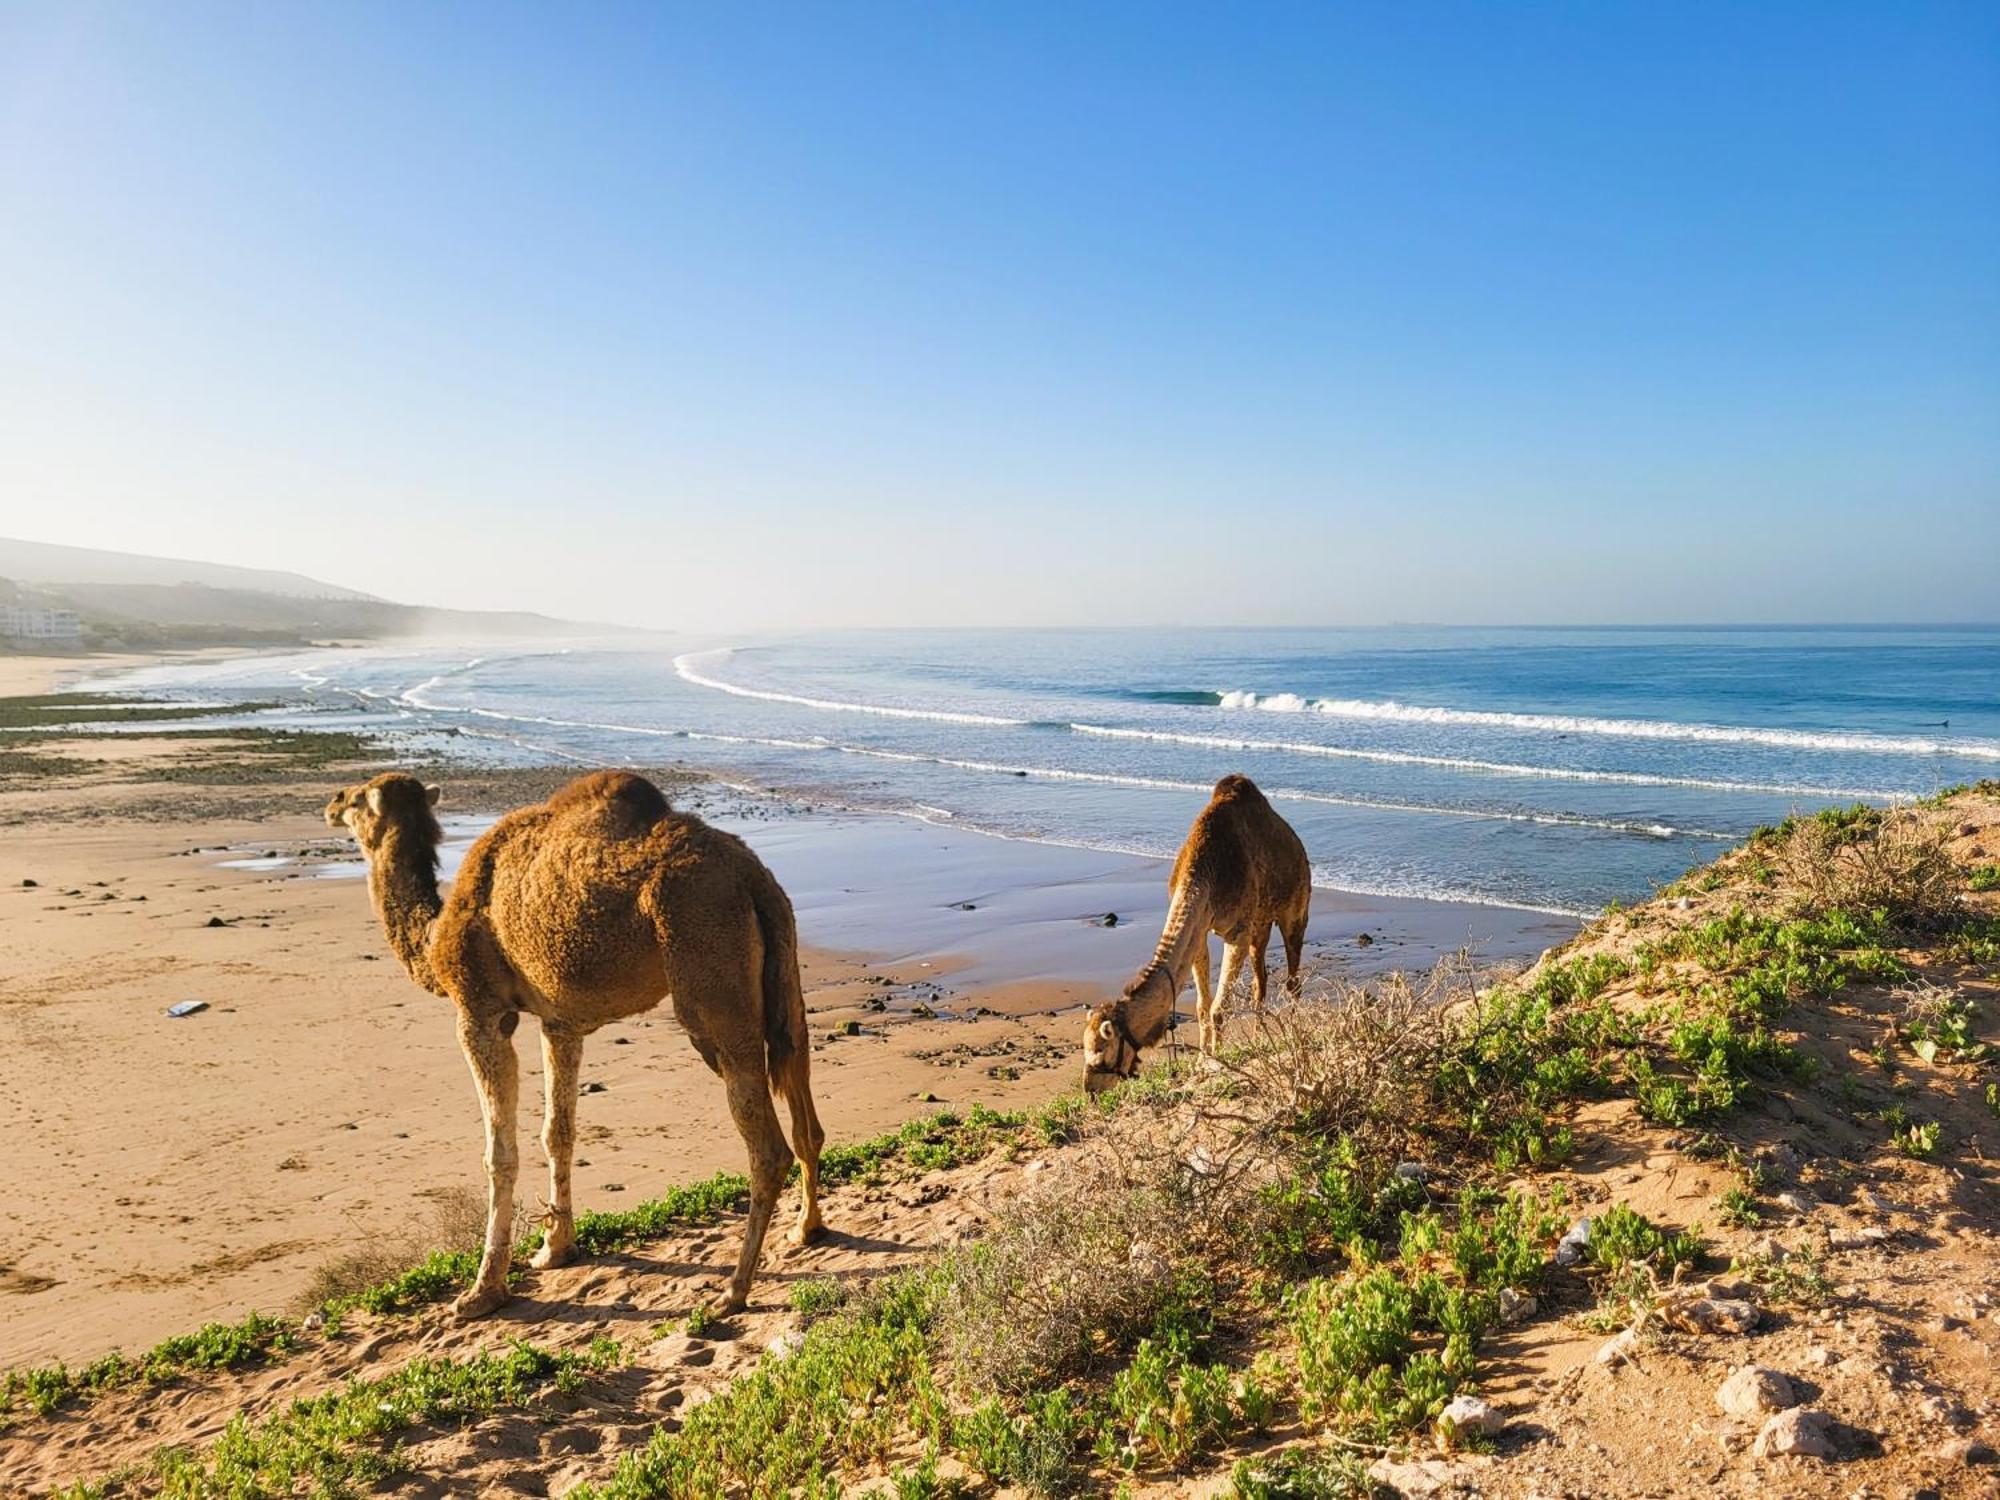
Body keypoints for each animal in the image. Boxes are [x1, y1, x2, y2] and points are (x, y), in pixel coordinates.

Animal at [326, 768, 820, 1320]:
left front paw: (483, 1290)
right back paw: (806, 1228)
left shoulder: (480, 1013)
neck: (436, 935)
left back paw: (733, 1291)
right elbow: (557, 1132)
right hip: (785, 969)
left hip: (708, 973)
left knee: (767, 1145)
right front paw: (554, 1249)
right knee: (801, 1097)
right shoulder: (557, 1023)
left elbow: (499, 1154)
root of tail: (752, 878)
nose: (330, 804)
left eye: (354, 798)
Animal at [1080, 776, 1312, 1096]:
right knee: (1260, 981)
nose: (1090, 1090)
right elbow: (1203, 1007)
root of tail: (1296, 843)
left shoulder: (1237, 933)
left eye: (1102, 1053)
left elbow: (1218, 1009)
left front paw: (1220, 1062)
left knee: (1292, 977)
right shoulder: (1201, 933)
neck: (1206, 874)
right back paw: (1261, 1038)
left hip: (1295, 908)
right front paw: (1204, 1060)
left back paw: (1292, 1032)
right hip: (1261, 925)